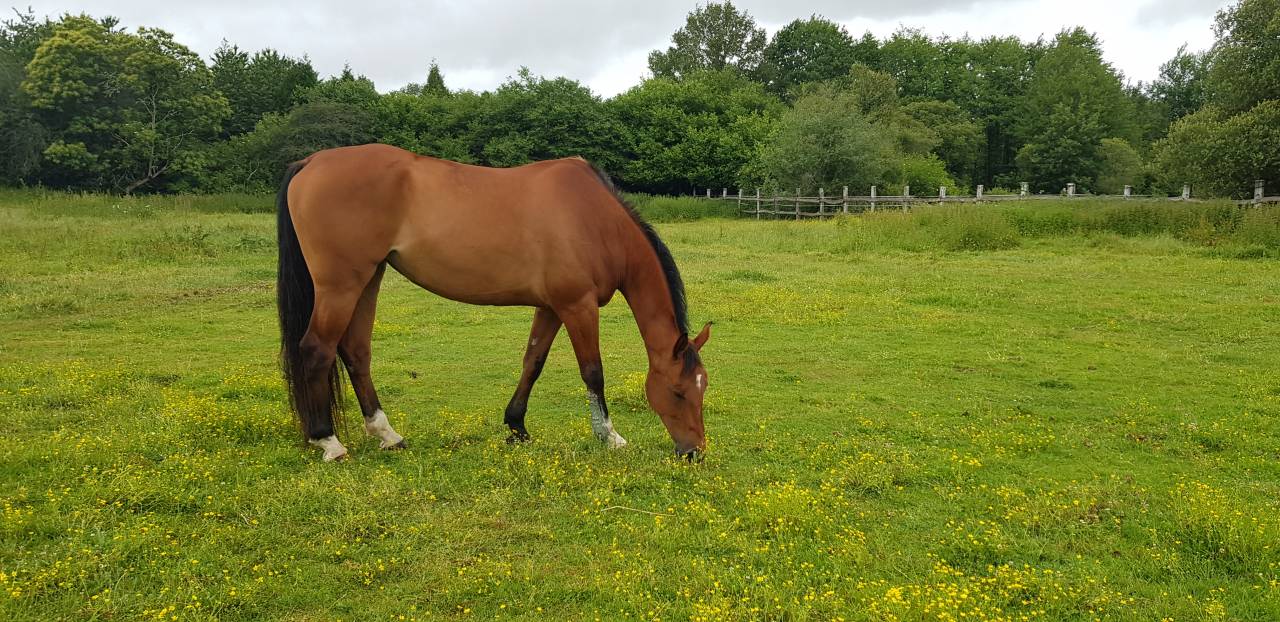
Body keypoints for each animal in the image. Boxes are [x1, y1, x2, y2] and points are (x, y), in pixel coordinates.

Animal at [276, 144, 711, 462]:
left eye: (702, 388)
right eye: (677, 392)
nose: (694, 452)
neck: (596, 219)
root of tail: (311, 162)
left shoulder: (552, 307)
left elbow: (533, 362)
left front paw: (516, 427)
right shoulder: (578, 306)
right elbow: (593, 372)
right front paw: (610, 436)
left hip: (368, 279)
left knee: (355, 351)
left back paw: (387, 434)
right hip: (340, 285)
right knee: (317, 349)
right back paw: (328, 442)